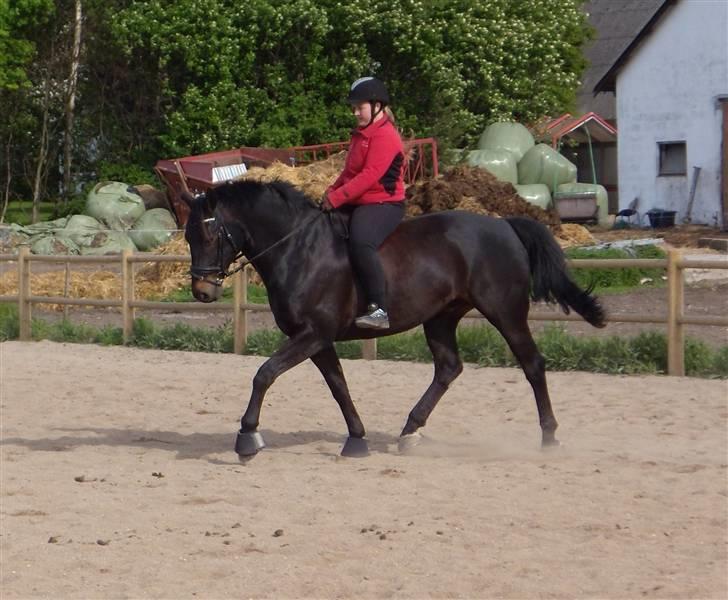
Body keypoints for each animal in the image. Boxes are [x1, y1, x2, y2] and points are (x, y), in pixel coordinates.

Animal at [181, 179, 604, 460]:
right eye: (187, 237)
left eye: (209, 233)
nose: (202, 291)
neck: (299, 248)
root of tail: (504, 224)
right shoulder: (318, 339)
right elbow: (339, 386)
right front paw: (357, 440)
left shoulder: (312, 334)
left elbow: (264, 374)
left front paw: (247, 437)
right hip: (440, 318)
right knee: (448, 368)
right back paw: (410, 431)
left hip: (505, 311)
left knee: (532, 364)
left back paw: (549, 437)